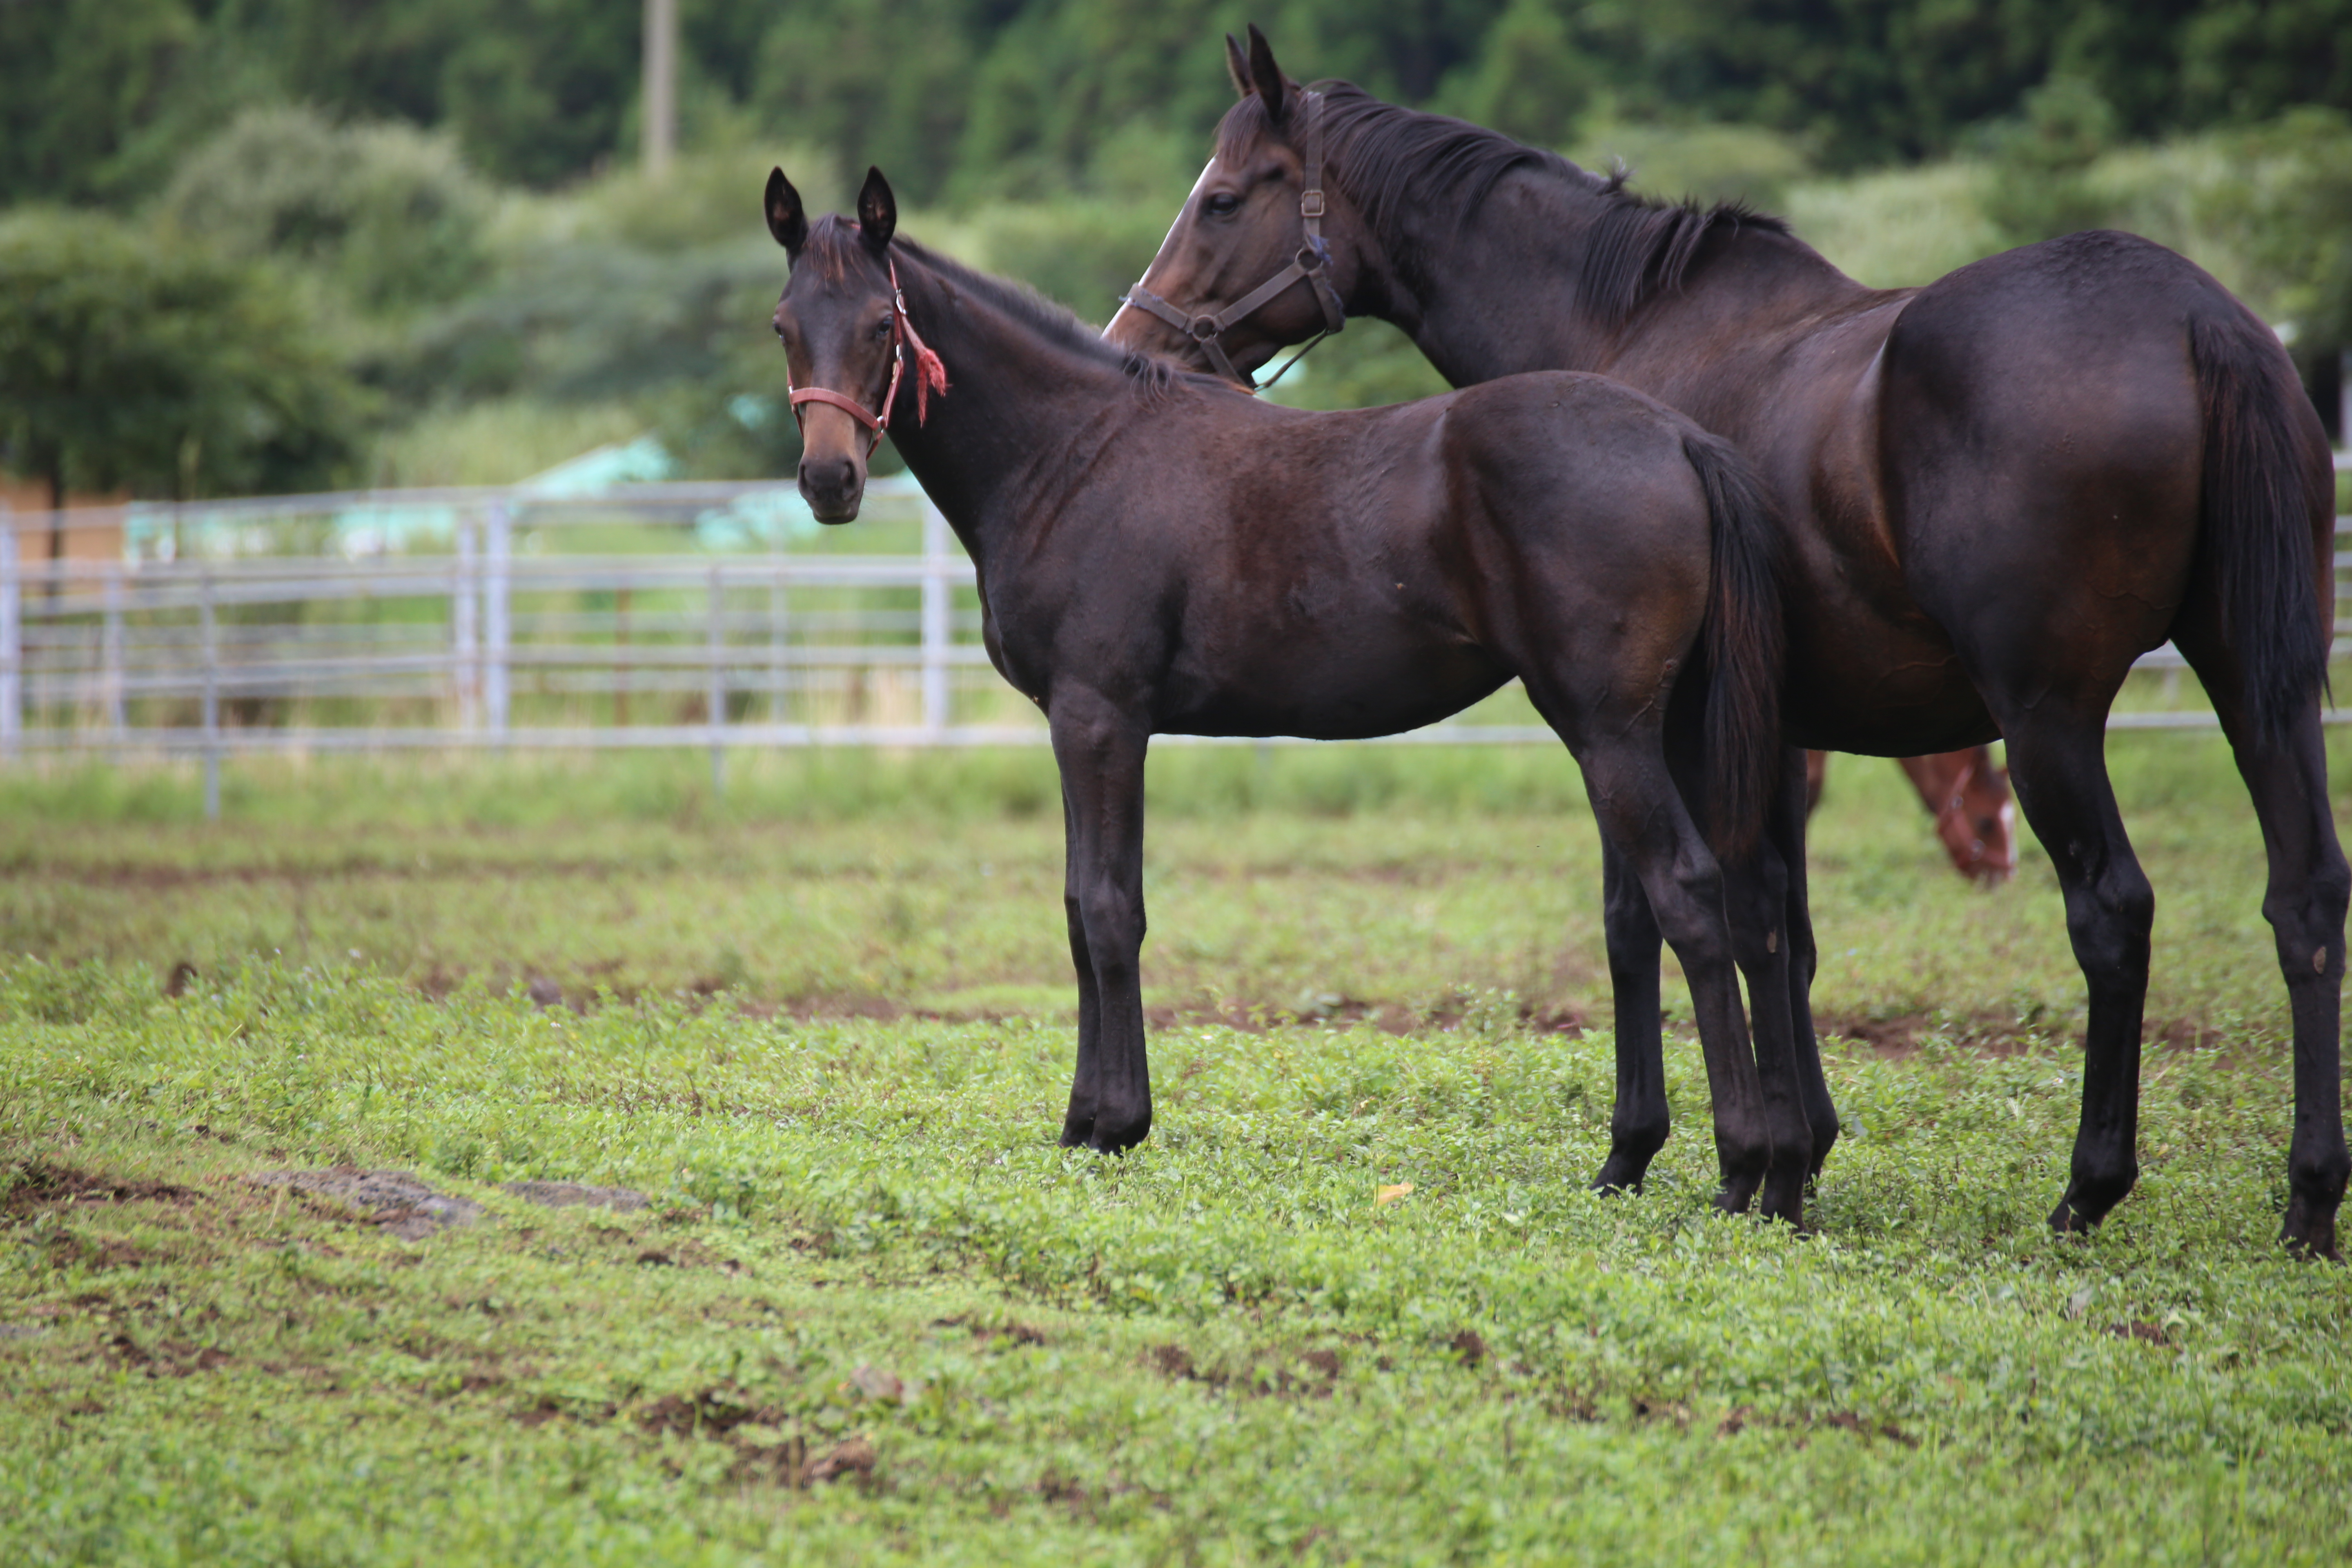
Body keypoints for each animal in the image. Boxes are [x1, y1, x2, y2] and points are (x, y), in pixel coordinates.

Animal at [766, 162, 1797, 1213]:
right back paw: (1660, 1160)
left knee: (1687, 897)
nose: (827, 481)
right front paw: (1081, 1122)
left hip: (1610, 734)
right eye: (783, 325)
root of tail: (1679, 439)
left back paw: (1740, 1168)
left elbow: (1109, 908)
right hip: (1665, 731)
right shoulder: (1078, 722)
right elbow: (1076, 907)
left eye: (880, 326)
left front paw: (1116, 1123)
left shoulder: (1100, 719)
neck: (1073, 453)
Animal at [1105, 31, 2352, 1260]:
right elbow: (1779, 928)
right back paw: (2308, 1199)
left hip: (2048, 718)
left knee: (2111, 912)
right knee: (2304, 896)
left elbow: (1651, 919)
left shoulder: (1644, 727)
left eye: (1221, 199)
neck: (1620, 337)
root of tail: (2195, 318)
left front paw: (1662, 1152)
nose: (1134, 346)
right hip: (2260, 687)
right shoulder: (1773, 730)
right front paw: (1799, 1150)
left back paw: (2088, 1189)